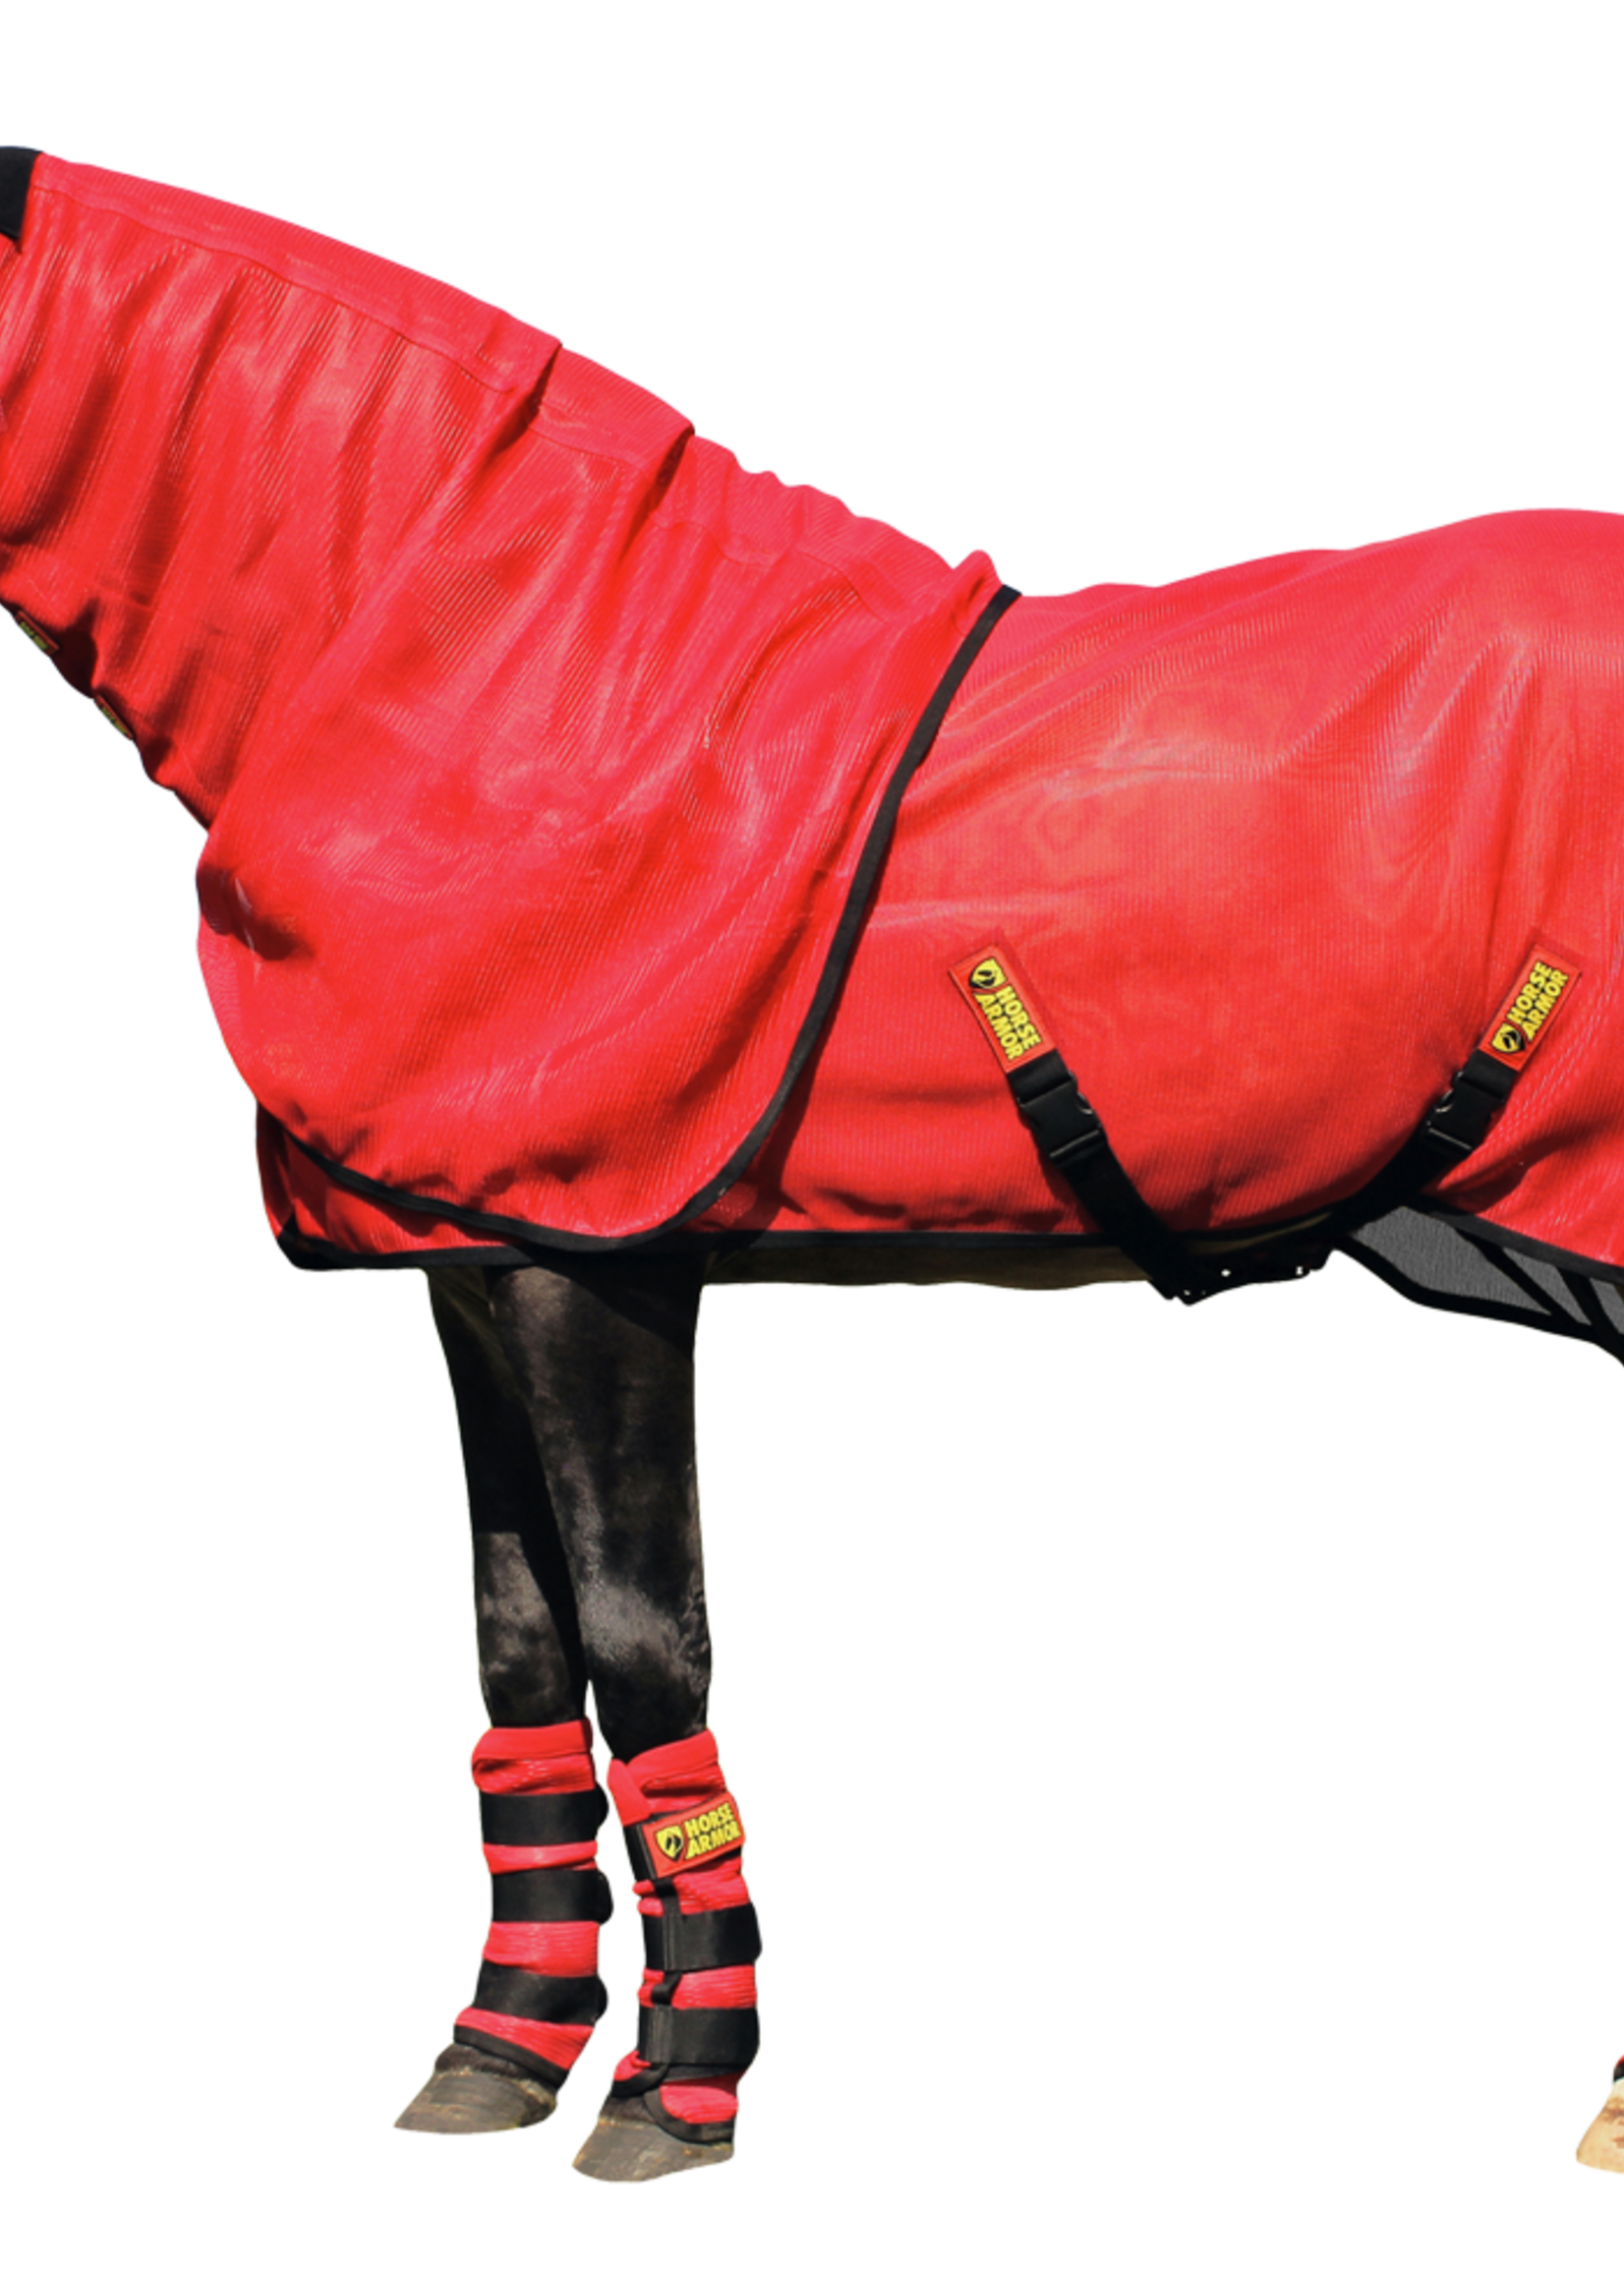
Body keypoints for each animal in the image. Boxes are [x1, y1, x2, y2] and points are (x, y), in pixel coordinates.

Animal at [3, 145, 1619, 2184]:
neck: (483, 644)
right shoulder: (471, 1253)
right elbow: (518, 1643)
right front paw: (498, 2052)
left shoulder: (596, 1262)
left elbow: (641, 1636)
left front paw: (672, 2091)